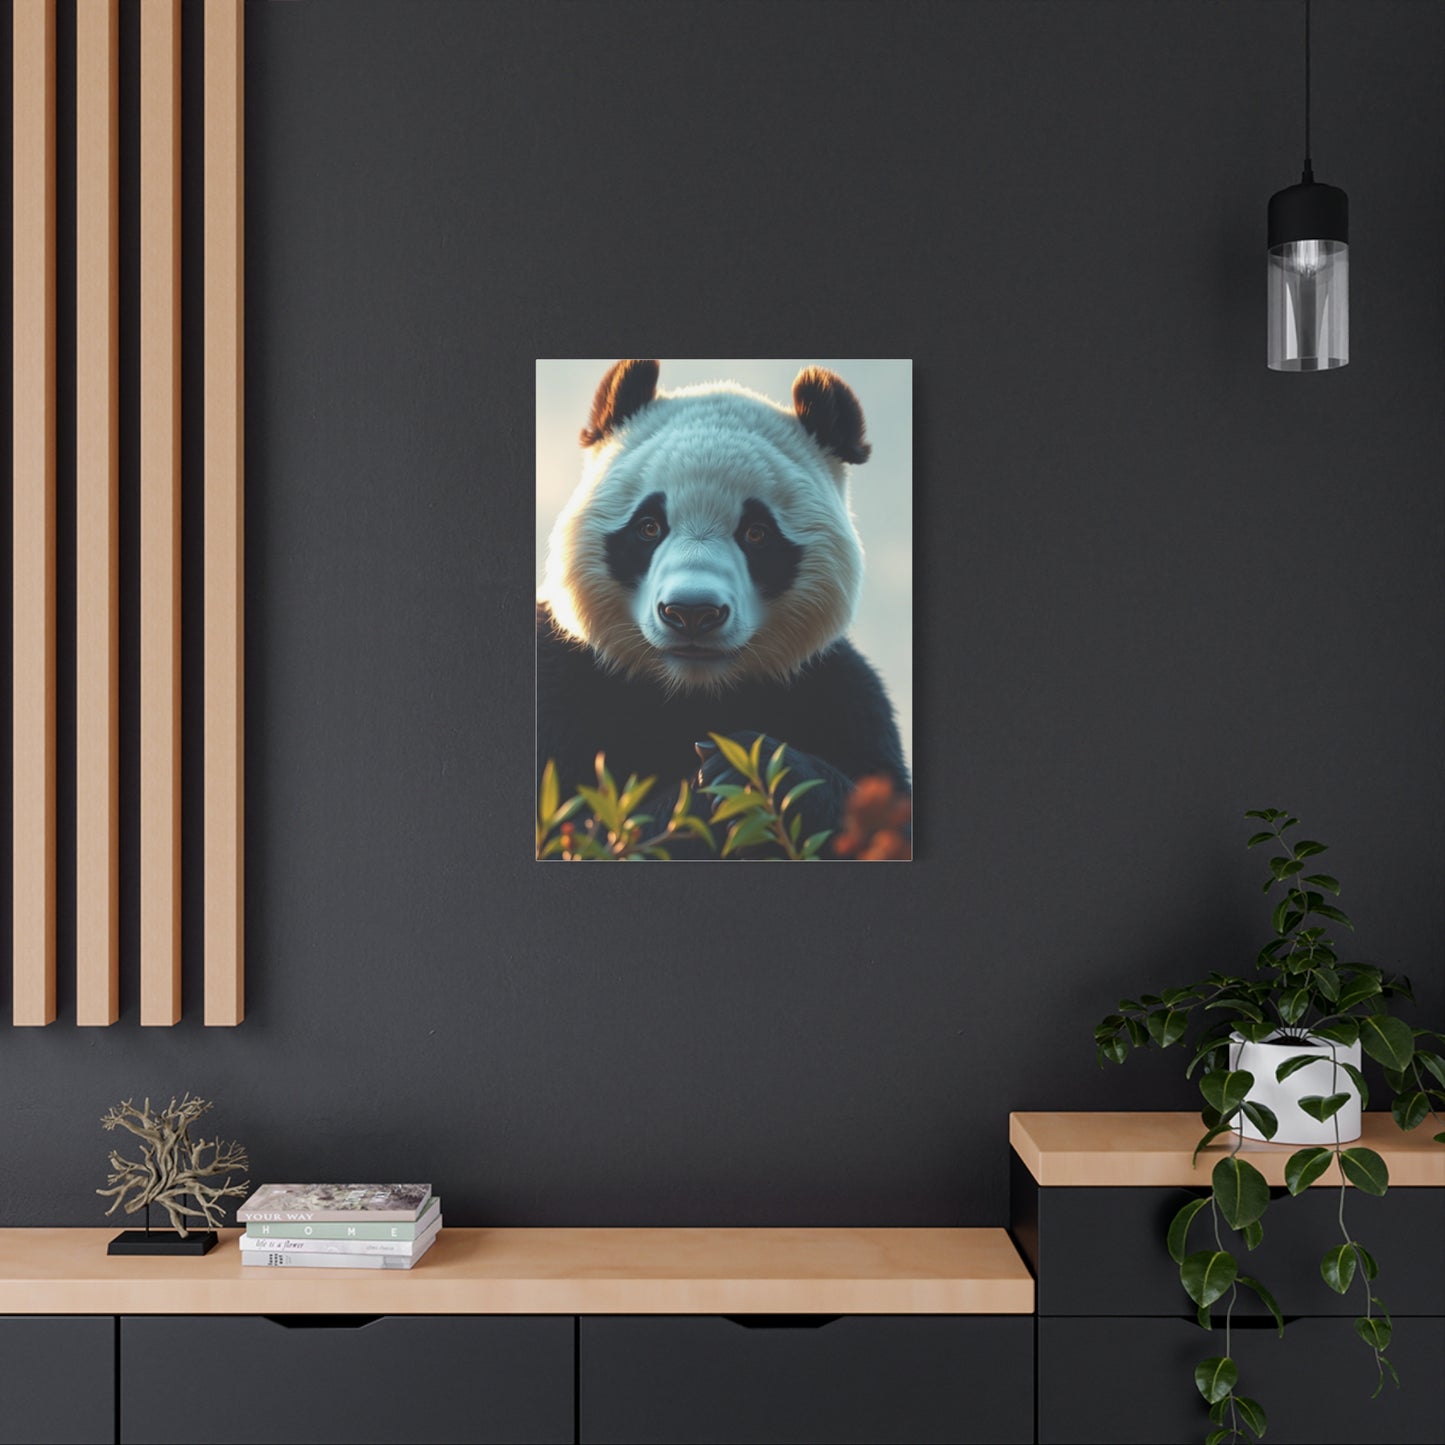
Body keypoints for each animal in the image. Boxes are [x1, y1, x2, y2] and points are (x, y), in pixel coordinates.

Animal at [537, 358, 908, 856]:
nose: (692, 612)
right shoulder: (563, 682)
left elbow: (883, 814)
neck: (695, 690)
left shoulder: (839, 692)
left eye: (756, 533)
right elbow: (578, 830)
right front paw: (711, 785)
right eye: (649, 526)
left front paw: (751, 767)